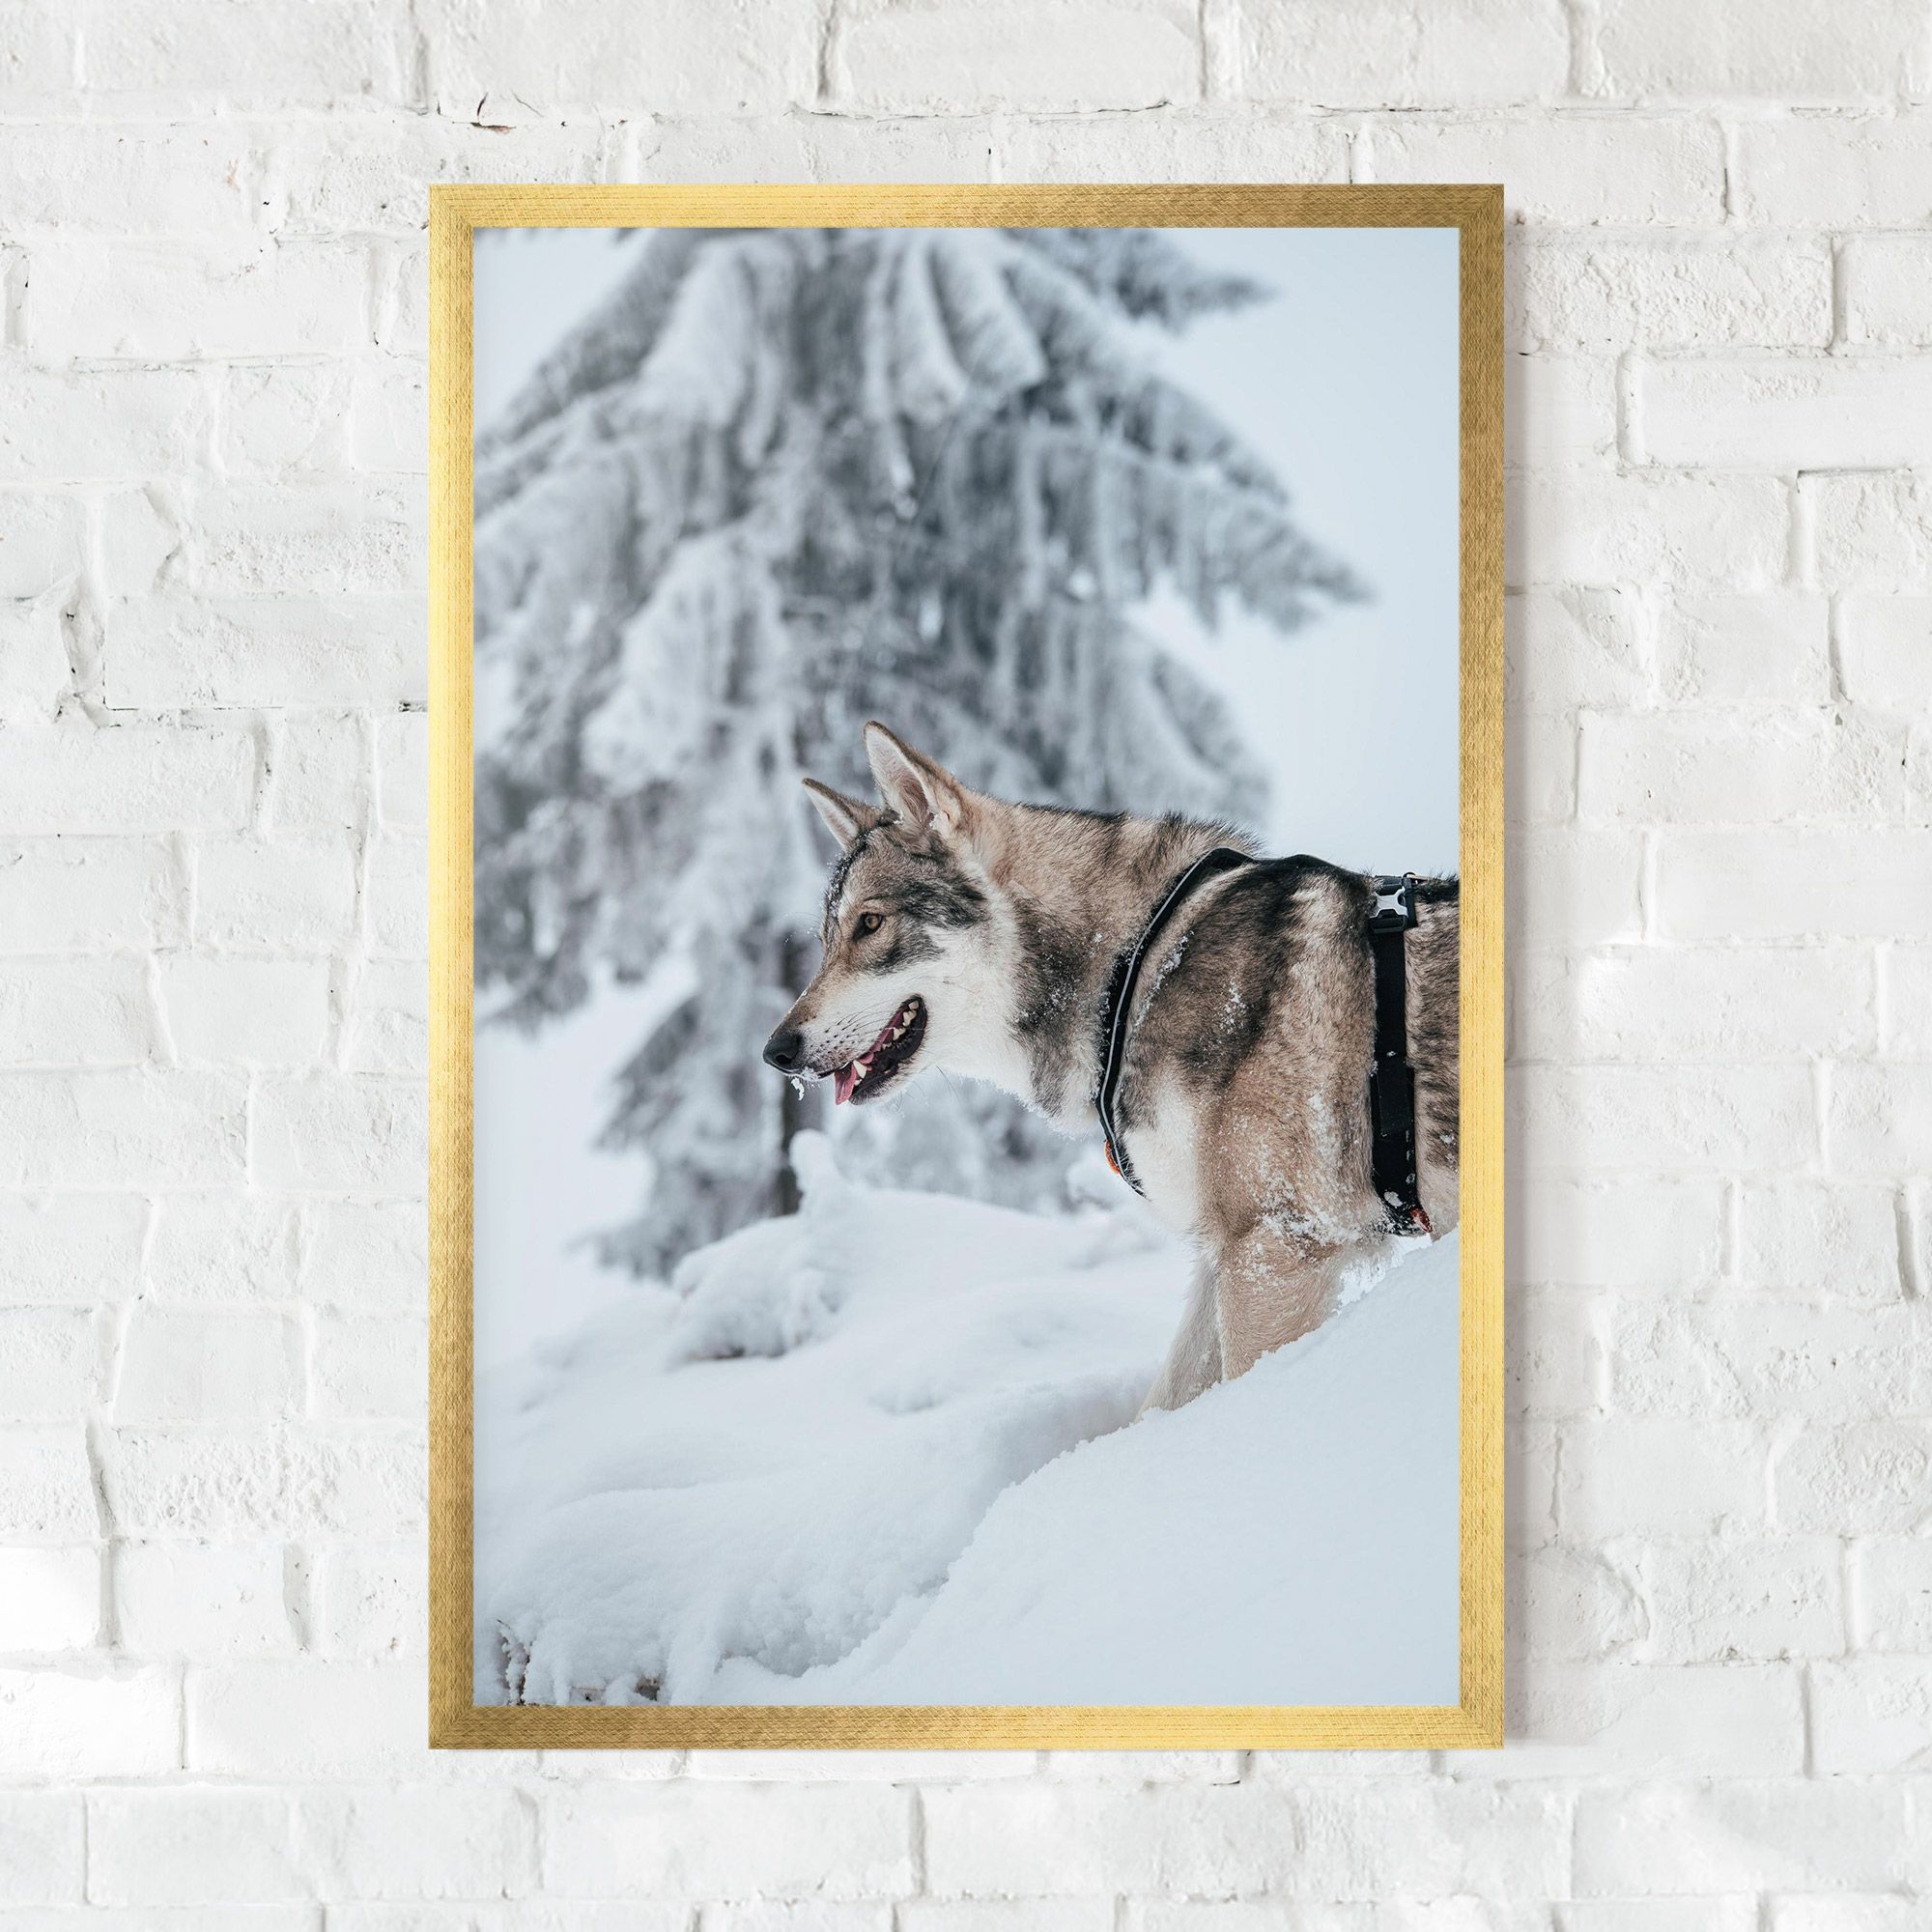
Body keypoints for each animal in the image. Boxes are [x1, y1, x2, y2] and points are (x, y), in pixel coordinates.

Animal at [763, 722, 1459, 1413]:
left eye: (870, 924)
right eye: (826, 941)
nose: (776, 1052)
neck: (1135, 966)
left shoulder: (1274, 1248)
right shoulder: (1224, 1254)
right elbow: (1161, 1404)